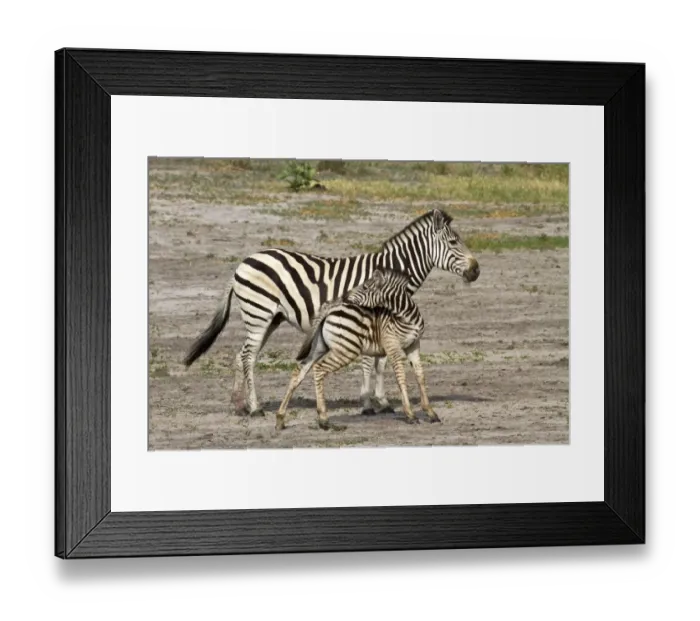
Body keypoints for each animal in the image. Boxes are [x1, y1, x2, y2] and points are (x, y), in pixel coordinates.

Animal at [276, 268, 437, 431]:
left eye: (365, 287)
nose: (344, 297)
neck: (406, 317)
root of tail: (330, 308)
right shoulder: (392, 345)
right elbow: (401, 378)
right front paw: (410, 414)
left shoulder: (414, 345)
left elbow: (420, 376)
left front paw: (430, 412)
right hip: (346, 349)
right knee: (319, 368)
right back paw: (323, 419)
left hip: (320, 347)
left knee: (299, 371)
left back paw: (281, 418)